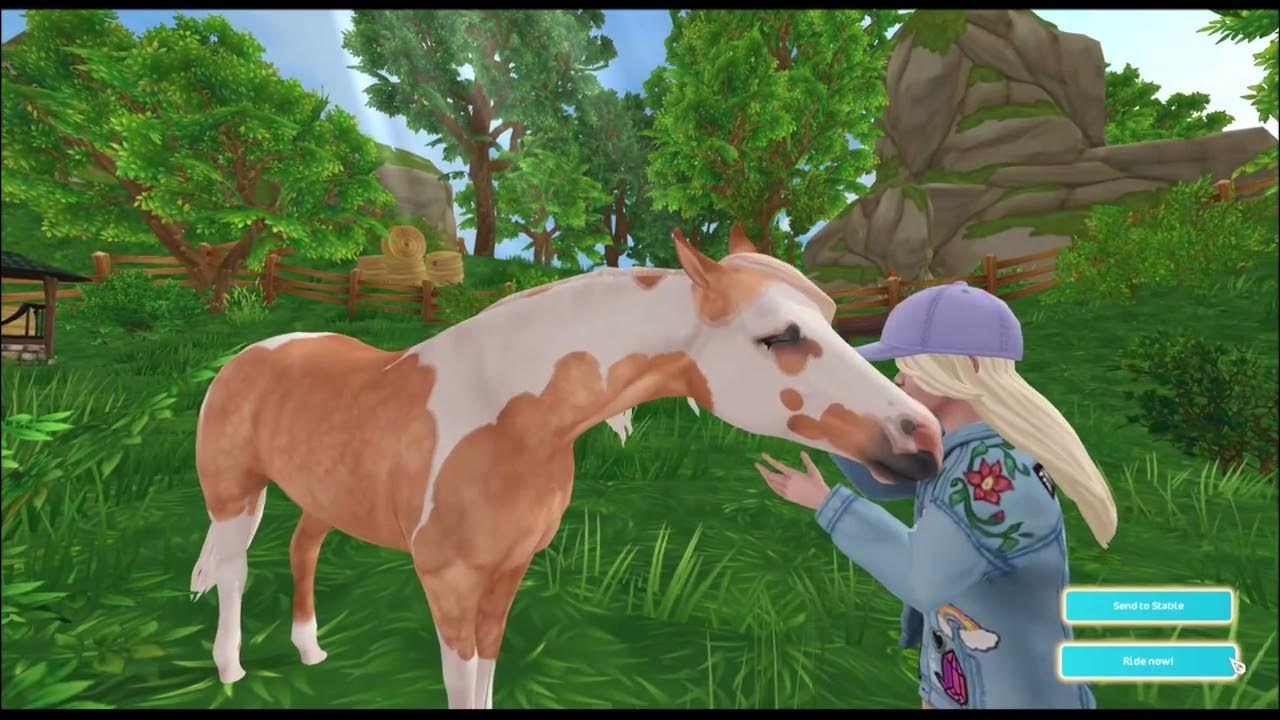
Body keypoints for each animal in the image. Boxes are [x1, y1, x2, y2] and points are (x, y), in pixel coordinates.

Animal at [189, 225, 944, 709]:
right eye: (779, 337)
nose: (924, 442)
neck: (510, 417)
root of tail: (252, 353)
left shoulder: (508, 570)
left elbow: (487, 672)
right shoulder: (448, 578)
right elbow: (460, 679)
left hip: (323, 496)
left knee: (302, 549)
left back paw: (311, 651)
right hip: (235, 496)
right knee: (233, 570)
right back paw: (230, 667)